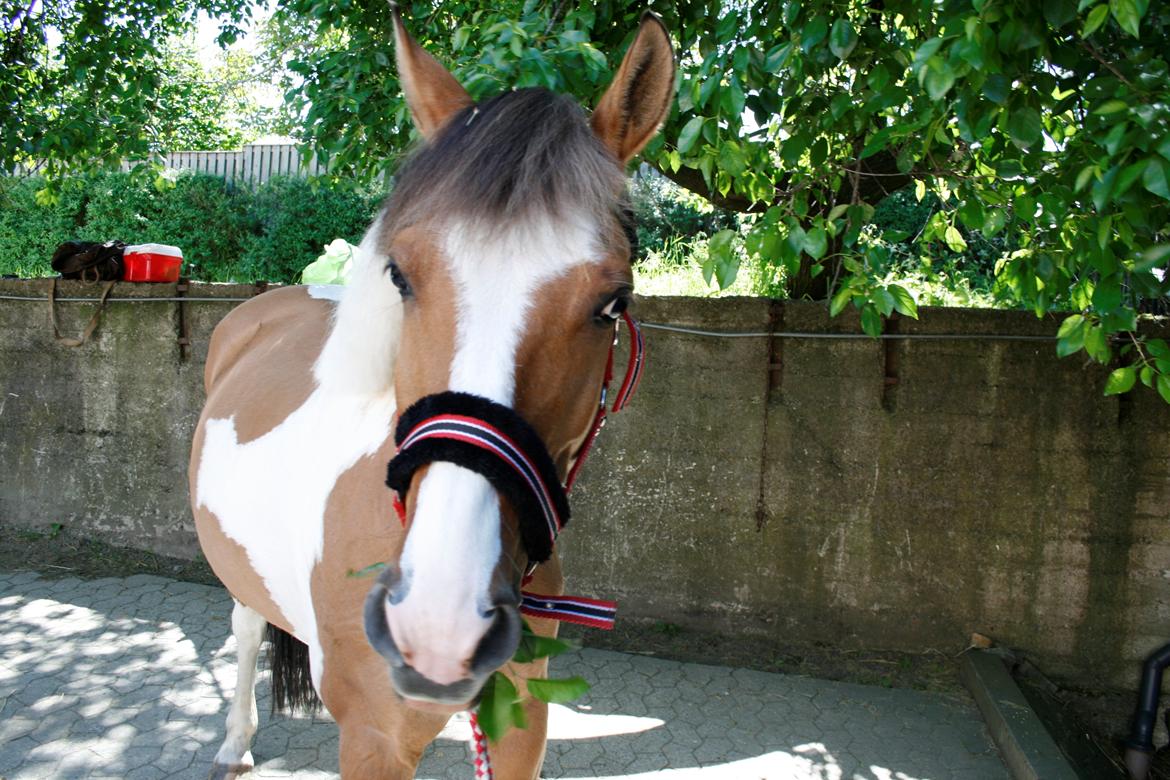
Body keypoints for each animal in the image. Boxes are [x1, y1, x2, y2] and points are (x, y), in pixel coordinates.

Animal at [189, 12, 678, 780]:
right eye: (401, 276)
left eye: (613, 303)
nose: (441, 620)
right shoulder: (374, 741)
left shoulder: (523, 723)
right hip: (239, 576)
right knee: (245, 627)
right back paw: (235, 740)